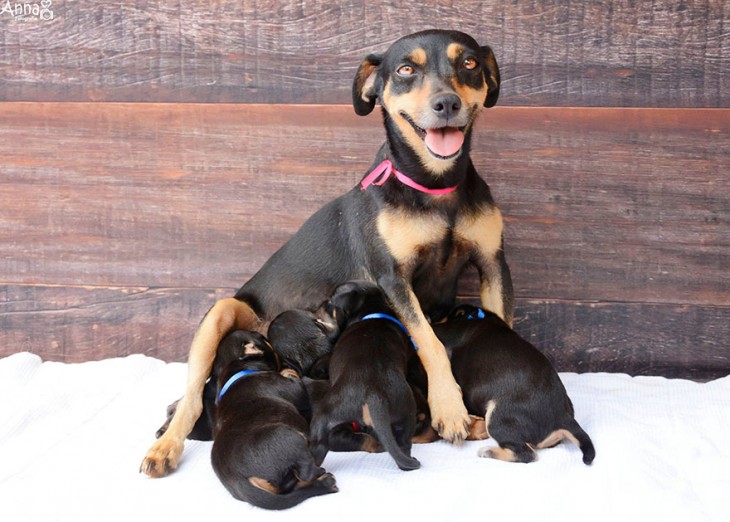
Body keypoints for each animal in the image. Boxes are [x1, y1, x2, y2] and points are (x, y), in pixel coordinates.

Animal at [209, 330, 336, 508]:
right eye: (262, 337)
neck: (235, 371)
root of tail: (239, 480)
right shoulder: (294, 389)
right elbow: (291, 378)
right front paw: (287, 370)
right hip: (289, 437)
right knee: (307, 471)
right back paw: (324, 477)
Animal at [308, 282, 420, 470]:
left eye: (330, 303)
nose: (316, 306)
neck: (372, 311)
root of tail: (373, 394)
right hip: (406, 412)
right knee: (404, 443)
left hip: (326, 417)